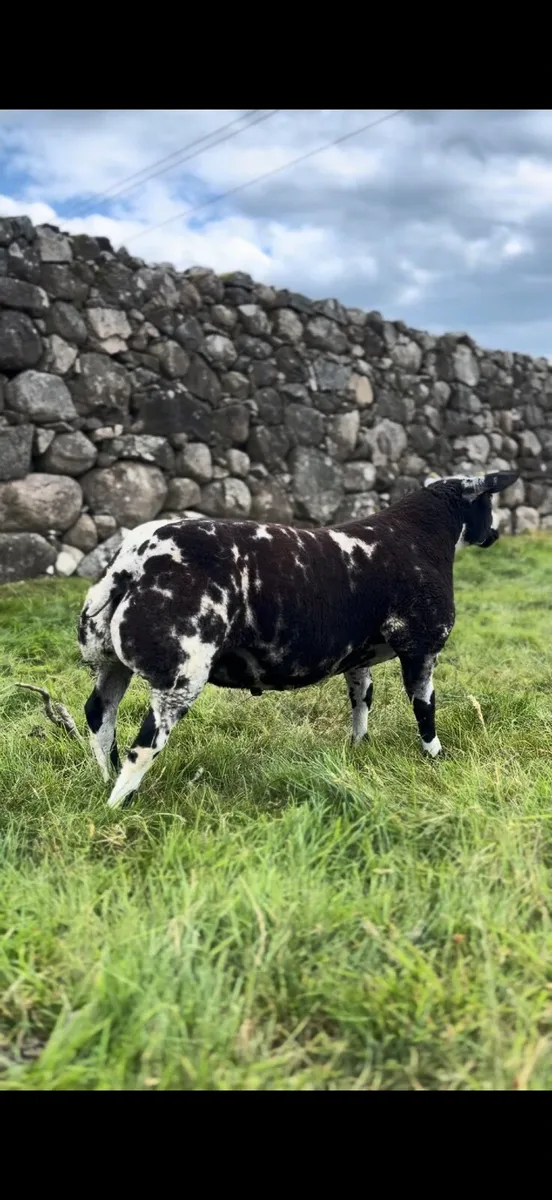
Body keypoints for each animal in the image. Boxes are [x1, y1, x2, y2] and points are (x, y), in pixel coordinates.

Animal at [78, 469, 518, 809]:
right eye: (488, 504)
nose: (495, 535)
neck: (421, 532)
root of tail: (132, 564)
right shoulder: (422, 647)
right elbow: (425, 709)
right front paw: (436, 756)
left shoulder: (356, 660)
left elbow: (362, 703)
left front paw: (358, 748)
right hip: (180, 676)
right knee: (144, 745)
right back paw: (119, 805)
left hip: (109, 663)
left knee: (99, 717)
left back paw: (104, 779)